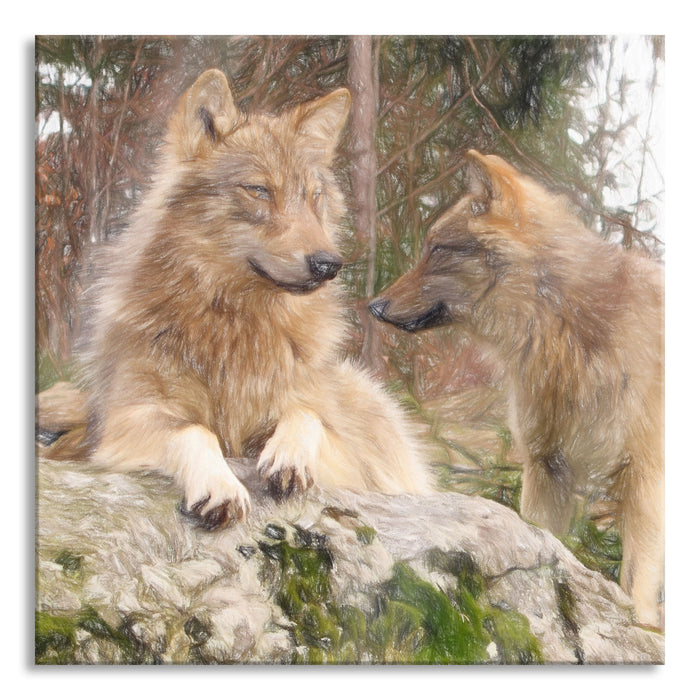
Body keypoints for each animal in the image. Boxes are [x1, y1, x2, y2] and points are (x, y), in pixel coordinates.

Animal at [41, 69, 432, 532]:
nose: (329, 264)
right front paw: (220, 486)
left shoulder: (350, 457)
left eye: (313, 196)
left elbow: (307, 416)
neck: (235, 321)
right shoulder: (126, 422)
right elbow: (195, 431)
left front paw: (288, 458)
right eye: (258, 190)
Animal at [370, 149, 664, 628]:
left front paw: (638, 623)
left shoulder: (645, 477)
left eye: (438, 249)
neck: (567, 329)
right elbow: (545, 539)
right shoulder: (548, 464)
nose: (373, 306)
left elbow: (637, 574)